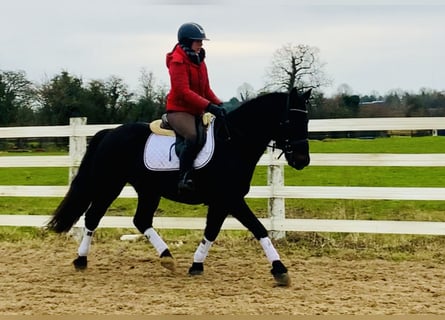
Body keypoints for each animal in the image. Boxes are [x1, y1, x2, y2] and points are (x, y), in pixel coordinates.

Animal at [45, 87, 308, 288]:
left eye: (306, 120)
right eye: (289, 121)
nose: (302, 160)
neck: (234, 142)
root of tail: (110, 132)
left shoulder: (223, 201)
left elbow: (212, 231)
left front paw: (196, 265)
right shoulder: (230, 199)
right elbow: (258, 228)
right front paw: (280, 270)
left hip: (148, 190)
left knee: (141, 220)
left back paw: (167, 257)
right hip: (110, 184)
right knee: (93, 216)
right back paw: (81, 260)